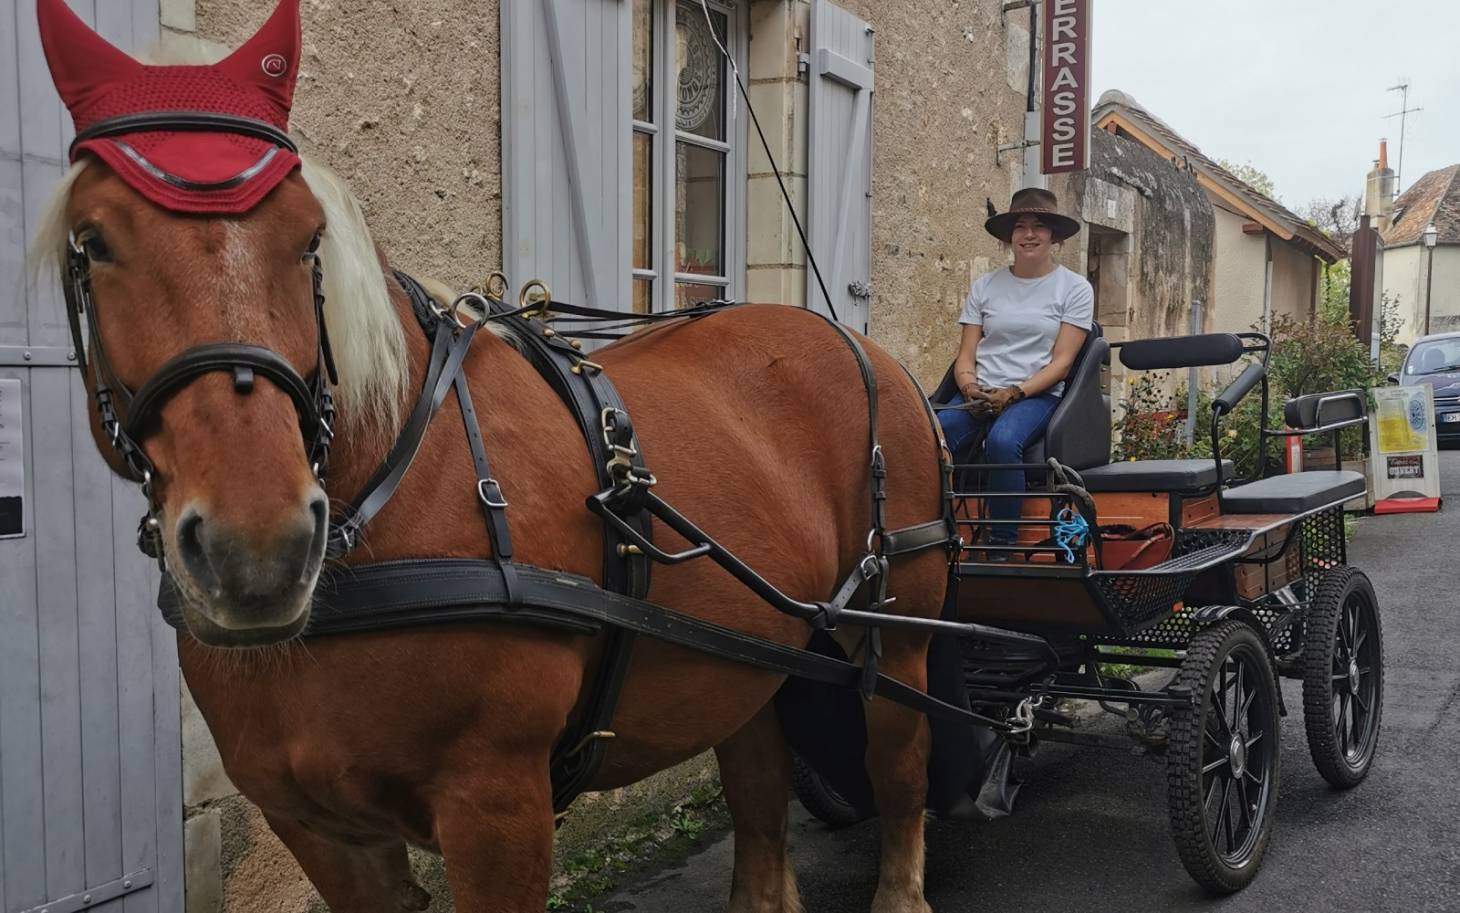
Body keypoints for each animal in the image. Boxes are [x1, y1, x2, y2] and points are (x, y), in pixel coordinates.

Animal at [28, 3, 951, 905]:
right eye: (93, 241)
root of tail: (866, 347)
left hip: (898, 643)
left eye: (308, 237)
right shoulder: (320, 830)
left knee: (903, 780)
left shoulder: (497, 807)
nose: (259, 549)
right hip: (746, 660)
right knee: (759, 800)